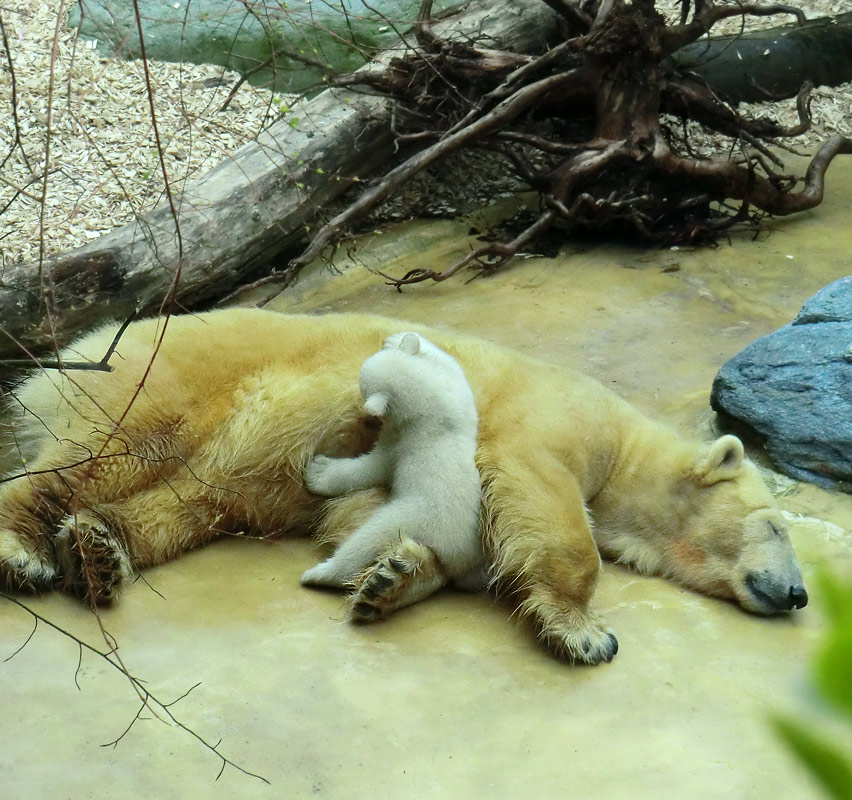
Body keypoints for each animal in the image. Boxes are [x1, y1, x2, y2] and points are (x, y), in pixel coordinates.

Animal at [0, 310, 808, 664]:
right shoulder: (544, 425)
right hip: (170, 383)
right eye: (776, 527)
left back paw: (101, 551)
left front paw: (390, 579)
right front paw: (585, 632)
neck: (624, 445)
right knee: (103, 457)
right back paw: (25, 550)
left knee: (186, 505)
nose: (800, 593)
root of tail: (69, 356)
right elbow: (538, 498)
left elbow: (386, 519)